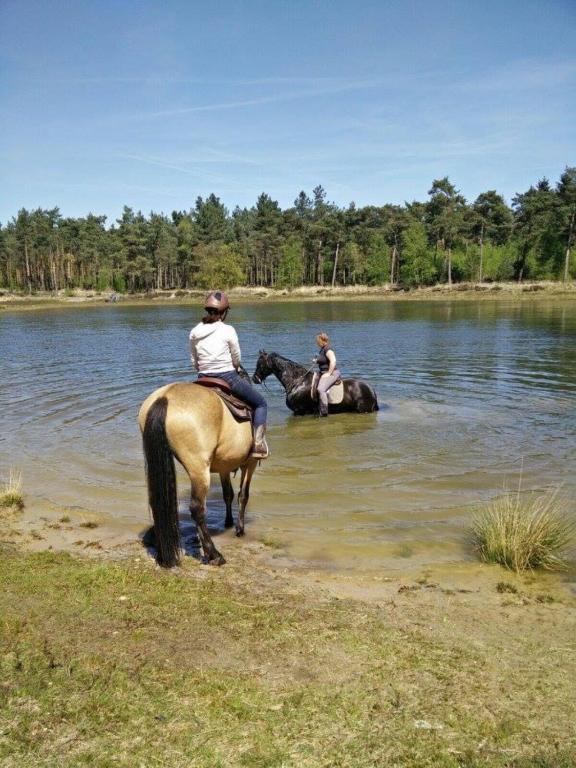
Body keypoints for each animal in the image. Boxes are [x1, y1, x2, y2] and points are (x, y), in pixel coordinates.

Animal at [138, 382, 258, 567]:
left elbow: (228, 494)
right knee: (197, 508)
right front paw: (239, 529)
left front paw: (229, 522)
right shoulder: (250, 463)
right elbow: (243, 495)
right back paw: (214, 554)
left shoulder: (224, 467)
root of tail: (165, 397)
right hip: (199, 469)